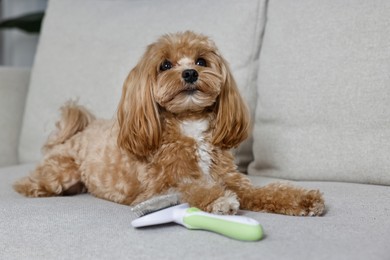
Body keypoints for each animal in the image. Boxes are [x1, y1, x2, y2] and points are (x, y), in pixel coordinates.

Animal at [14, 31, 326, 216]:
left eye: (201, 61)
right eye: (165, 65)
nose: (189, 73)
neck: (190, 124)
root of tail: (76, 132)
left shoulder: (233, 179)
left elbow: (265, 191)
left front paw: (302, 199)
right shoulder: (157, 188)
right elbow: (190, 187)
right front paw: (219, 200)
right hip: (60, 171)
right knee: (29, 183)